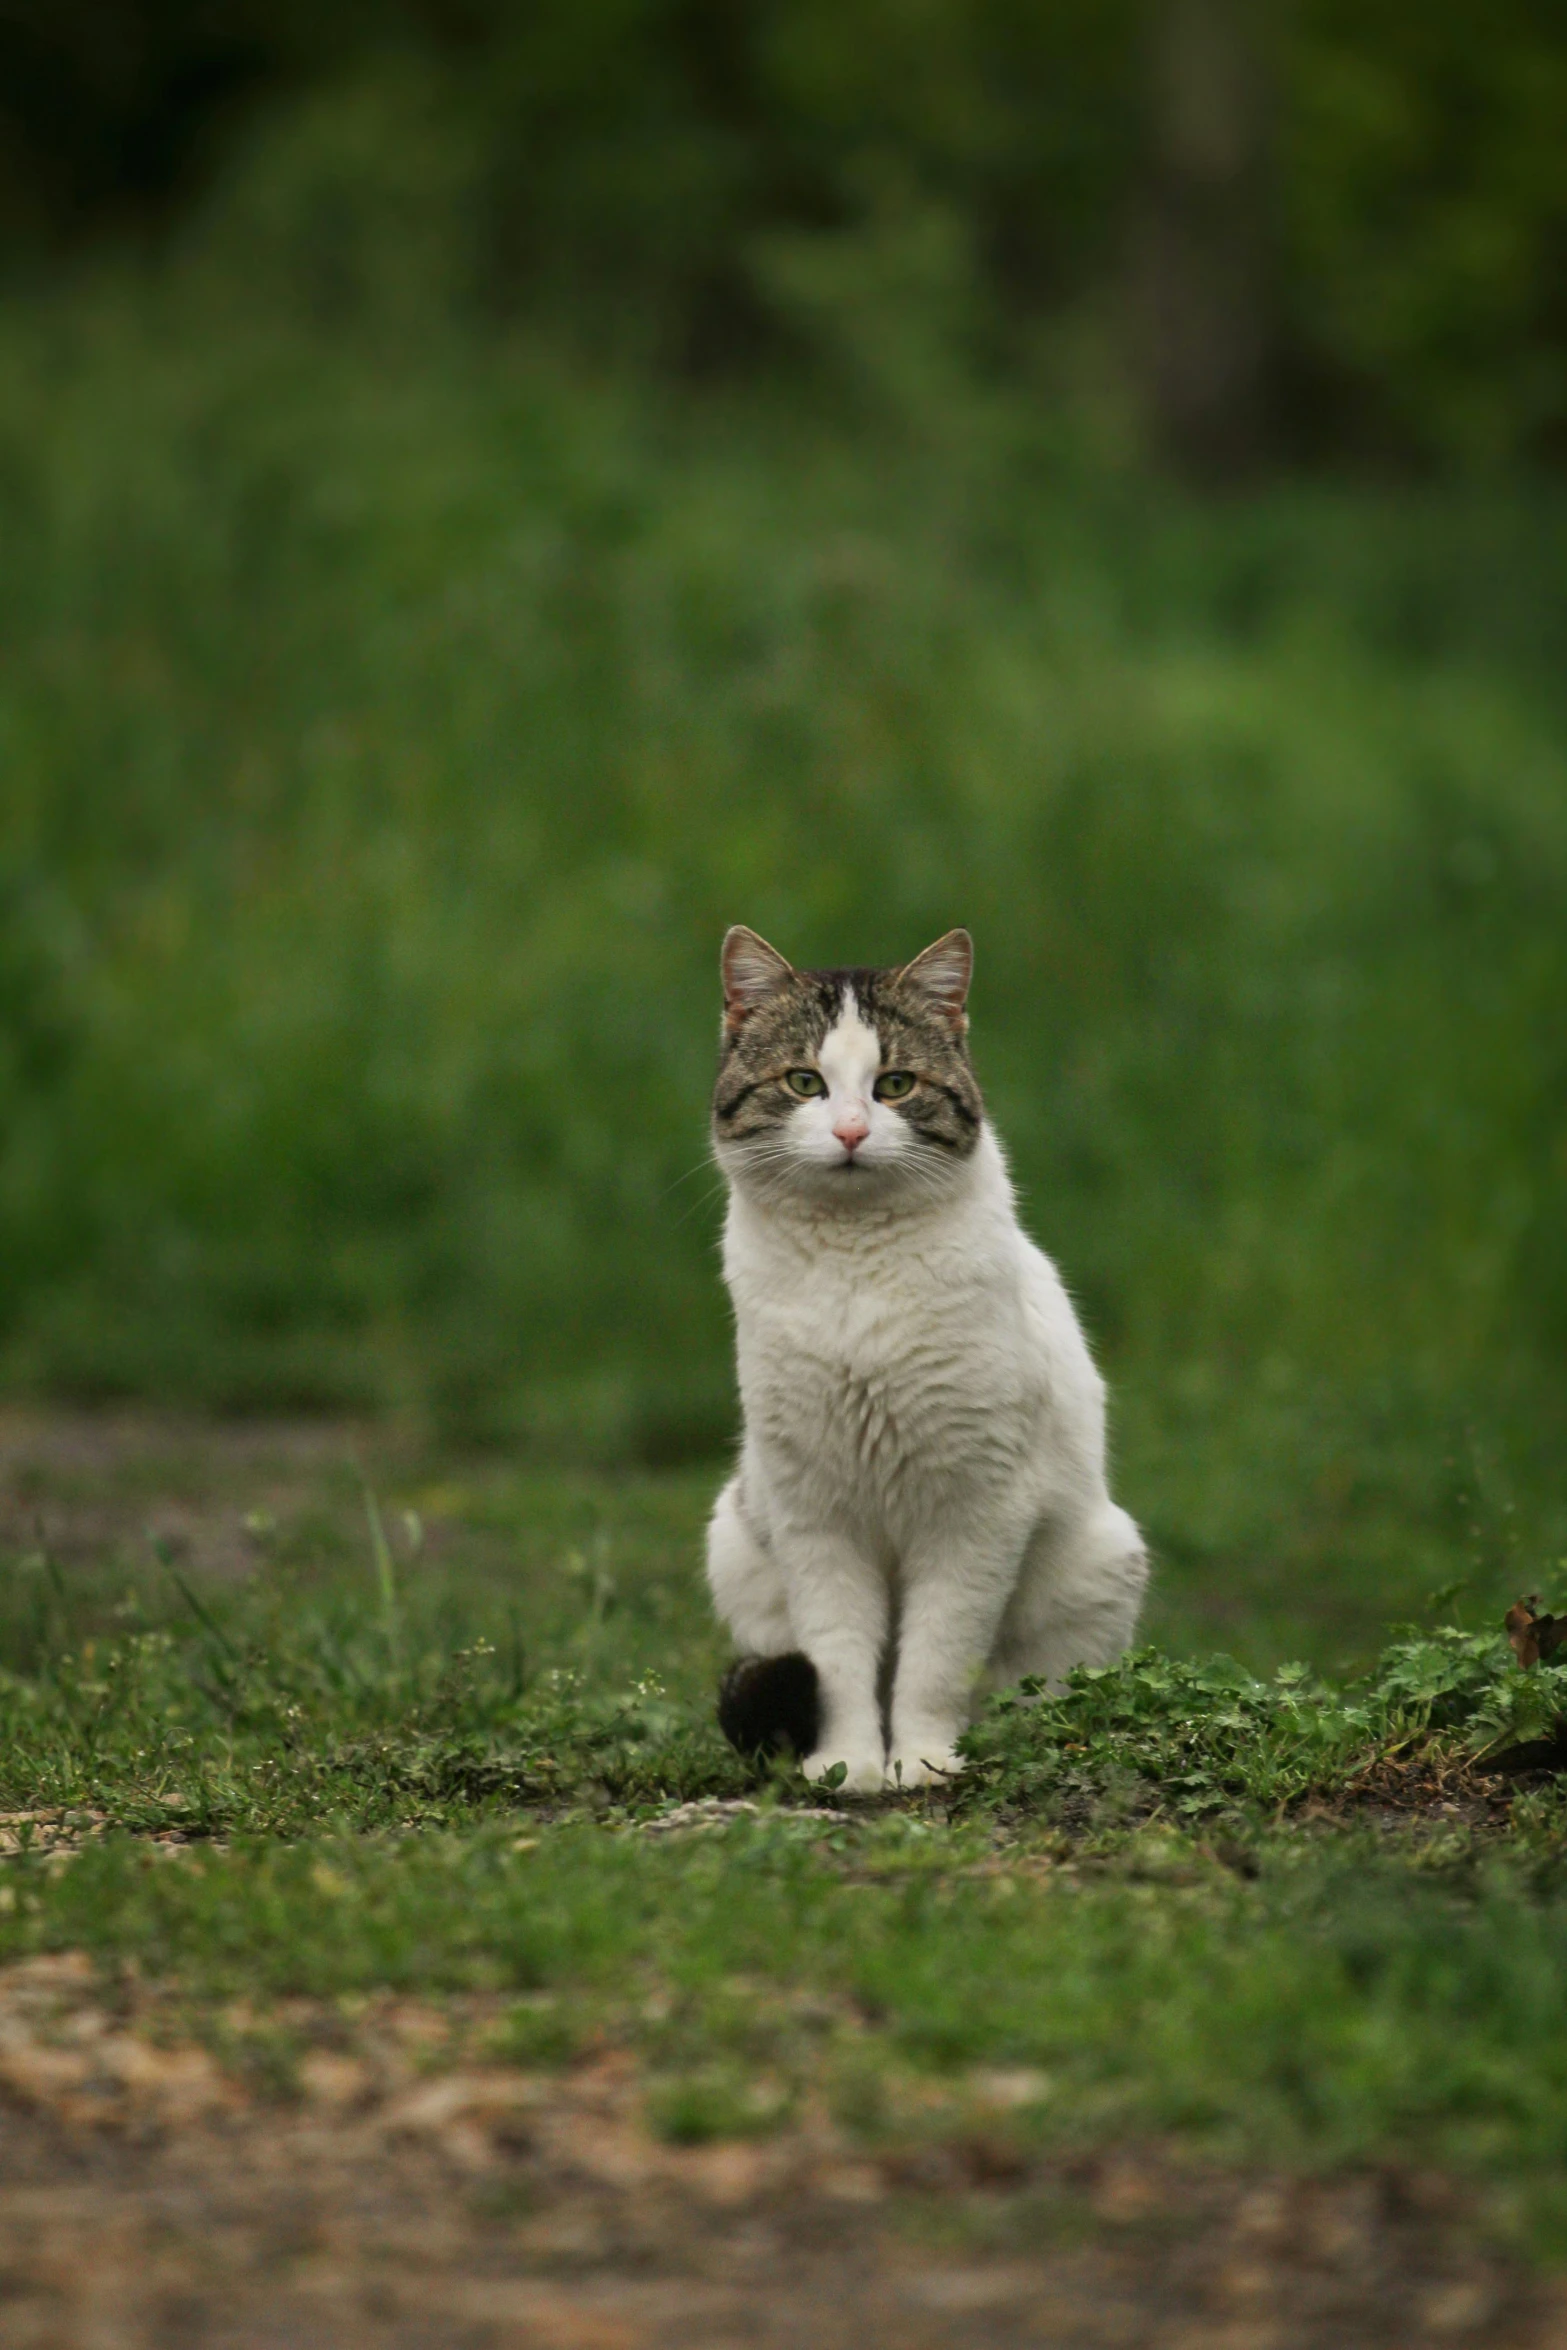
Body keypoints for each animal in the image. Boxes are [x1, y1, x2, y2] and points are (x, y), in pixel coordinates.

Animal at [704, 925, 1146, 1785]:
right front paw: (847, 1765)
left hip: (1101, 1563)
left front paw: (922, 1760)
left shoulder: (975, 1508)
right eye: (804, 1082)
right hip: (734, 1541)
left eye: (895, 1085)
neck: (853, 1265)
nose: (849, 1131)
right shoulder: (812, 1512)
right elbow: (837, 1658)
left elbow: (935, 1658)